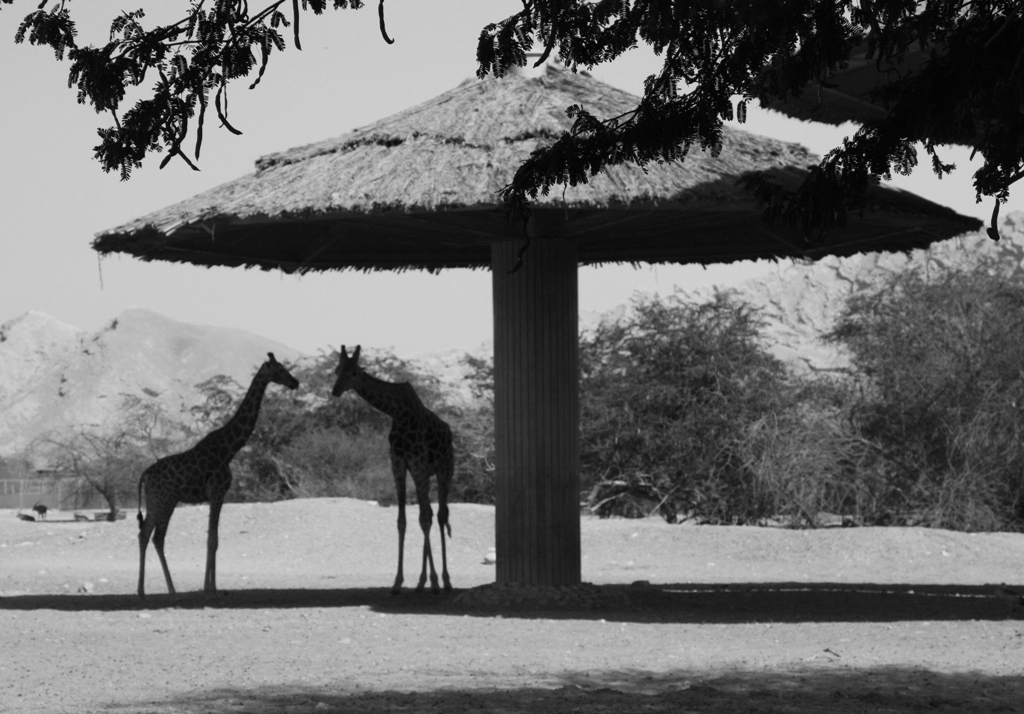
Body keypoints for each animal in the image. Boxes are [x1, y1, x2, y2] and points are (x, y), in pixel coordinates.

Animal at [136, 354, 299, 598]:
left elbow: (214, 540)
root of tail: (145, 474)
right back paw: (168, 590)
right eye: (279, 369)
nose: (295, 382)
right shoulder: (217, 492)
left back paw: (143, 590)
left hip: (157, 502)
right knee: (155, 537)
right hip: (165, 501)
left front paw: (213, 587)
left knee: (146, 535)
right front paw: (209, 589)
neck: (229, 449)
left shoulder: (219, 495)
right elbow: (212, 540)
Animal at [333, 342, 454, 594]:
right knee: (429, 513)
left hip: (445, 469)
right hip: (424, 473)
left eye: (354, 372)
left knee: (439, 515)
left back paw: (445, 581)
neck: (398, 412)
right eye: (337, 371)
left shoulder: (416, 463)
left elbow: (425, 519)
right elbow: (402, 521)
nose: (335, 390)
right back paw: (423, 582)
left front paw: (433, 581)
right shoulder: (398, 464)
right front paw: (398, 582)